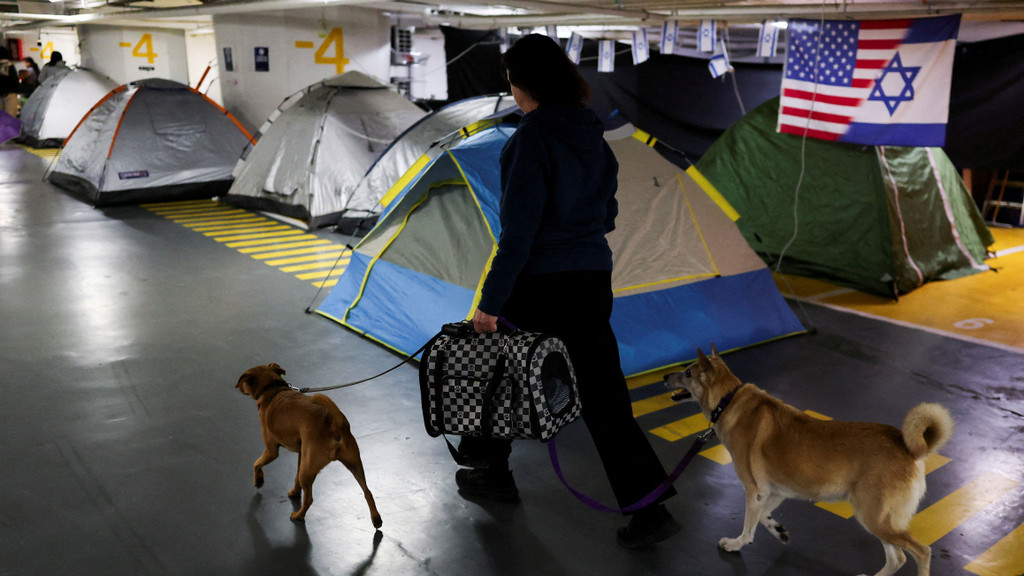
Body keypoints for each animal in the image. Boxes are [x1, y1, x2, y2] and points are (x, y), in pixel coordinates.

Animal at [235, 363, 382, 528]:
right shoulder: (302, 453)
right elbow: (295, 477)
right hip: (353, 464)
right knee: (367, 491)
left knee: (309, 499)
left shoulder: (271, 450)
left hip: (308, 472)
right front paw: (295, 491)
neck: (272, 389)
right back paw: (376, 519)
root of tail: (335, 423)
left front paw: (258, 480)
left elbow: (256, 463)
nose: (239, 387)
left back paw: (298, 515)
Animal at [664, 346, 953, 576]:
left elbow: (748, 527)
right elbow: (764, 517)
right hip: (879, 521)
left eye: (688, 373)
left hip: (874, 518)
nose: (666, 376)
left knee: (921, 551)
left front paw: (736, 544)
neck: (728, 400)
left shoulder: (754, 491)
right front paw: (778, 530)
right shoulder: (773, 492)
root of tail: (909, 448)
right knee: (898, 558)